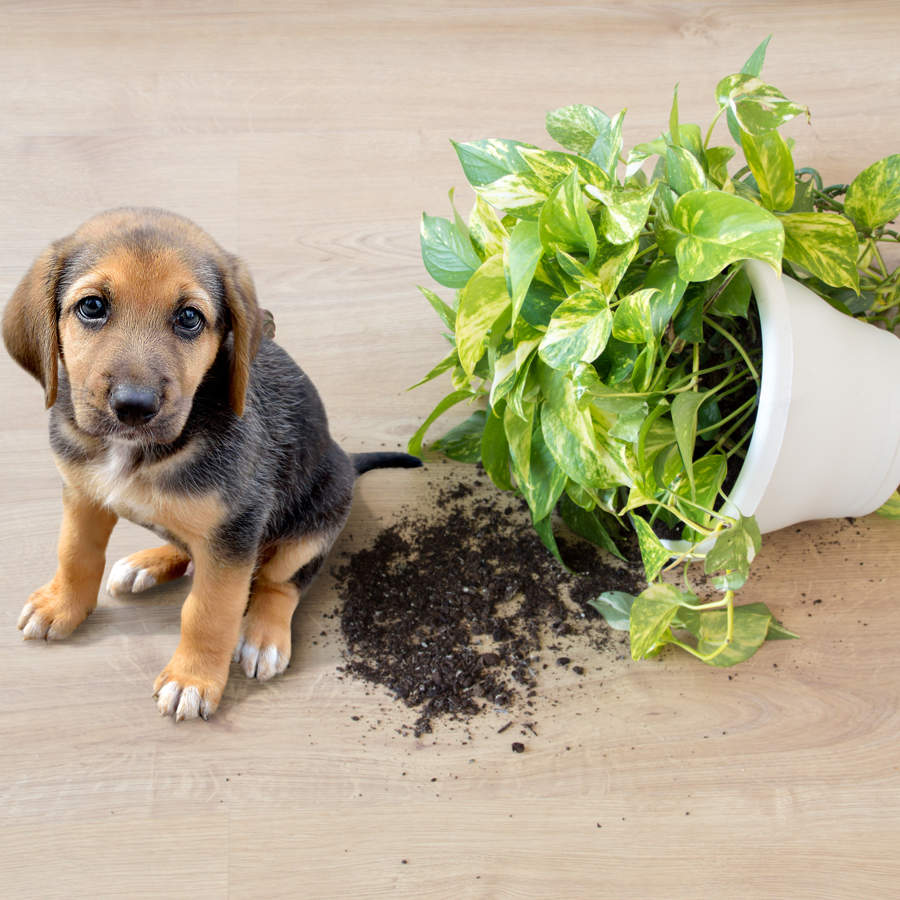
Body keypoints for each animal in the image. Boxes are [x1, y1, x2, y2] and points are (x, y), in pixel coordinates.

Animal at [3, 207, 422, 720]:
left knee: (281, 582)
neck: (138, 452)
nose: (134, 407)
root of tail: (345, 459)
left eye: (189, 318)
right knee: (188, 546)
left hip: (316, 520)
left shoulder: (234, 531)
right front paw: (62, 605)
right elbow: (75, 554)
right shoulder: (83, 495)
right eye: (92, 307)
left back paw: (263, 635)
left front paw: (193, 678)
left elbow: (209, 611)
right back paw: (148, 562)